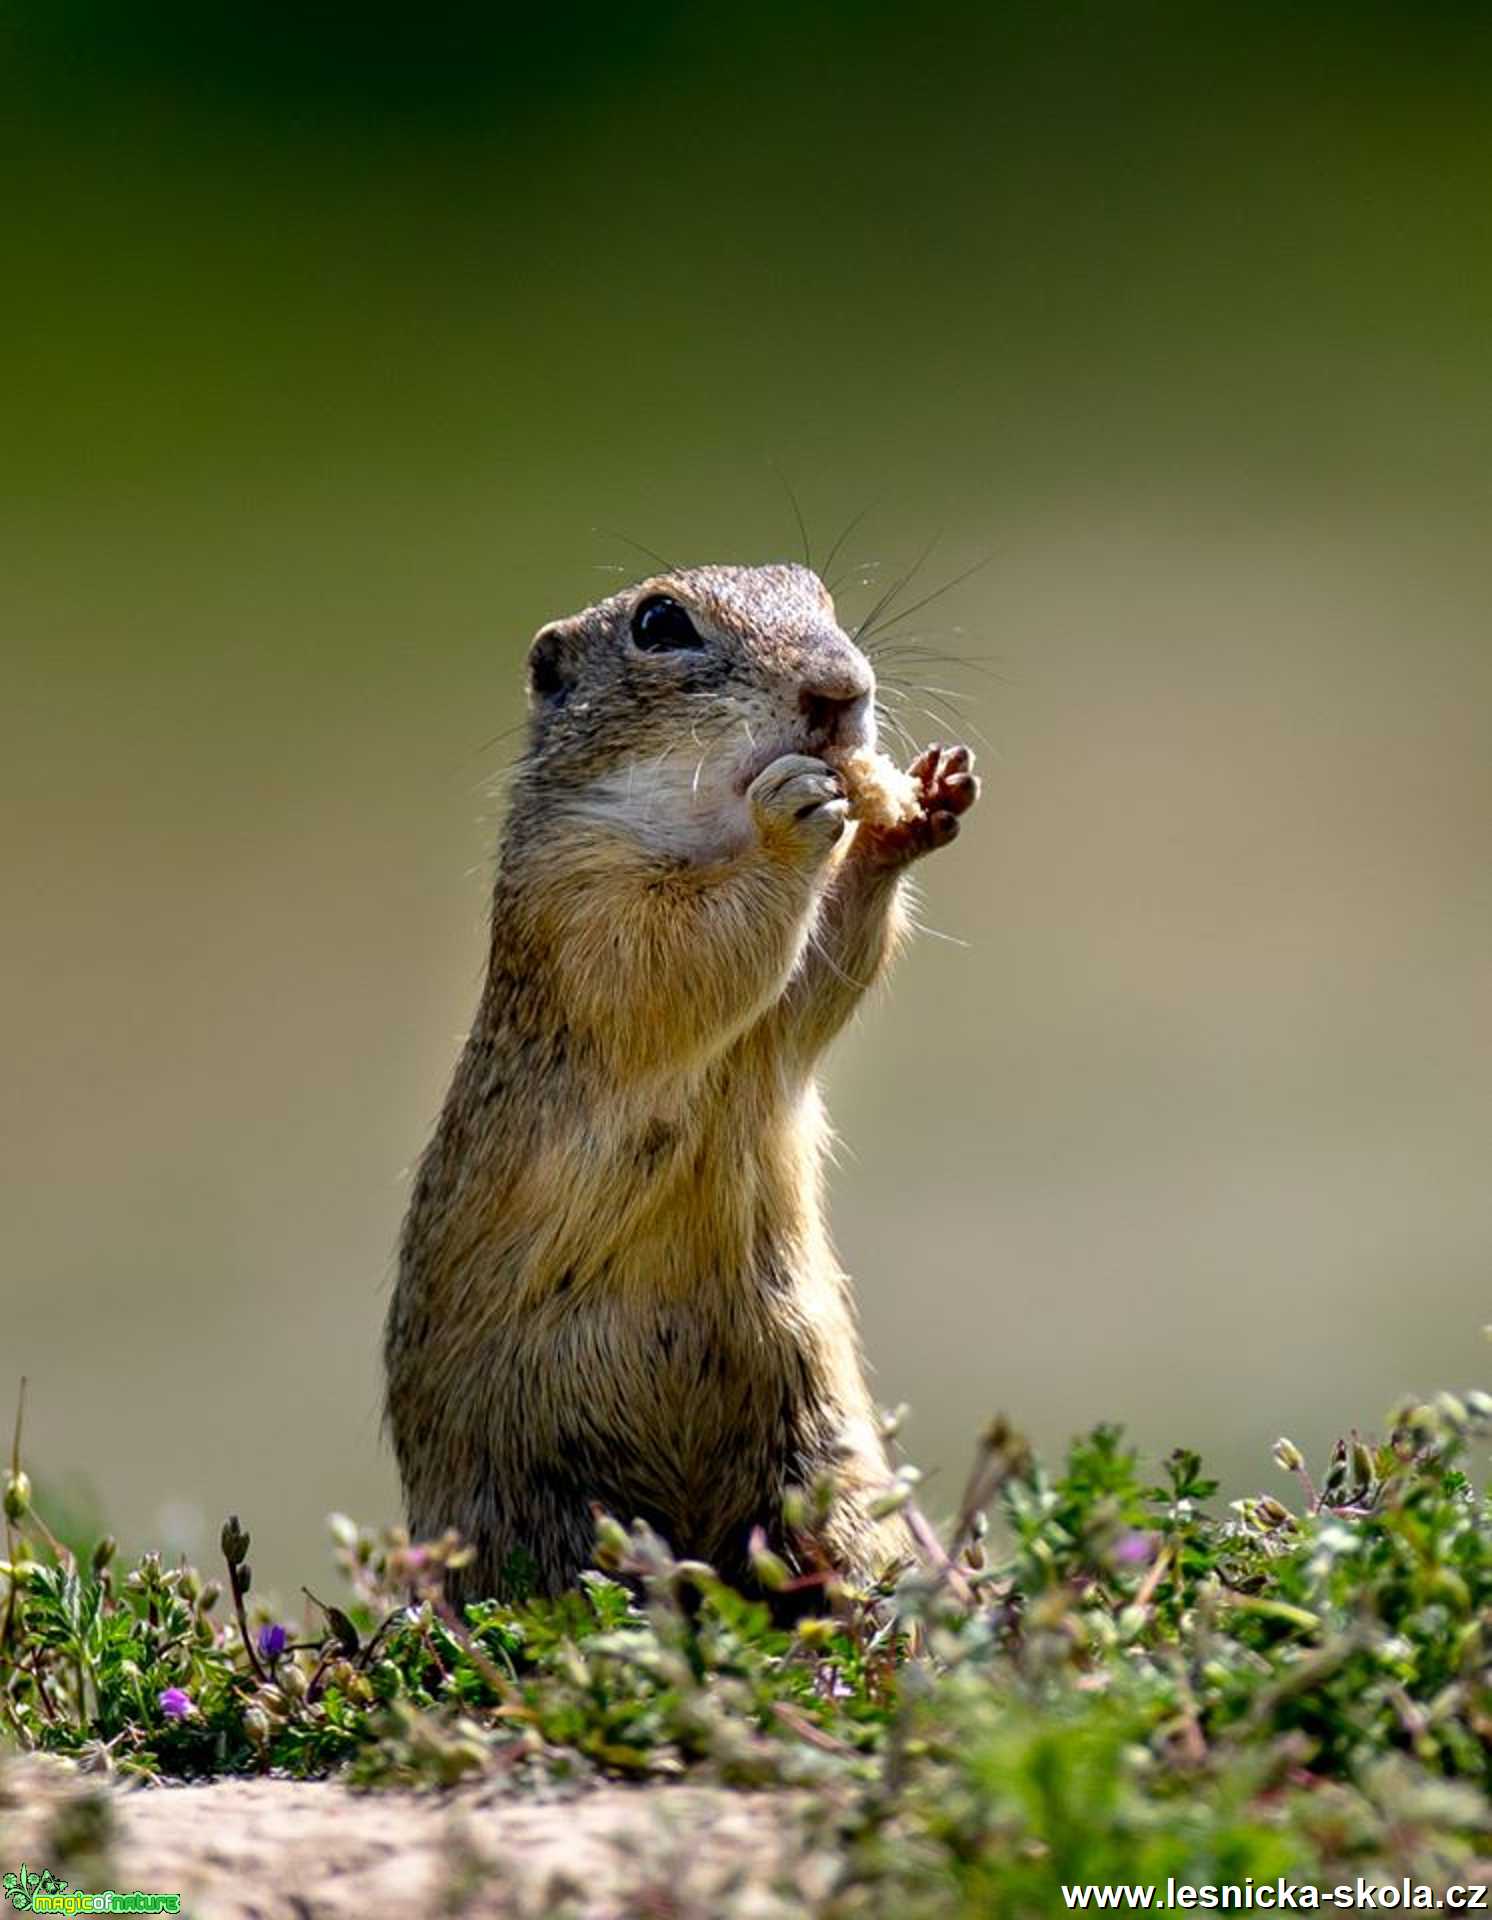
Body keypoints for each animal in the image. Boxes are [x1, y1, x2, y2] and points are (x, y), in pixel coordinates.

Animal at [384, 560, 979, 1605]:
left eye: (817, 590)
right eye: (661, 624)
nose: (841, 693)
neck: (708, 822)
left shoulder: (771, 1029)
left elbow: (816, 977)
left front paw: (913, 808)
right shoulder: (579, 897)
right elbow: (680, 955)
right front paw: (793, 821)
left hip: (820, 1454)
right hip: (543, 1502)